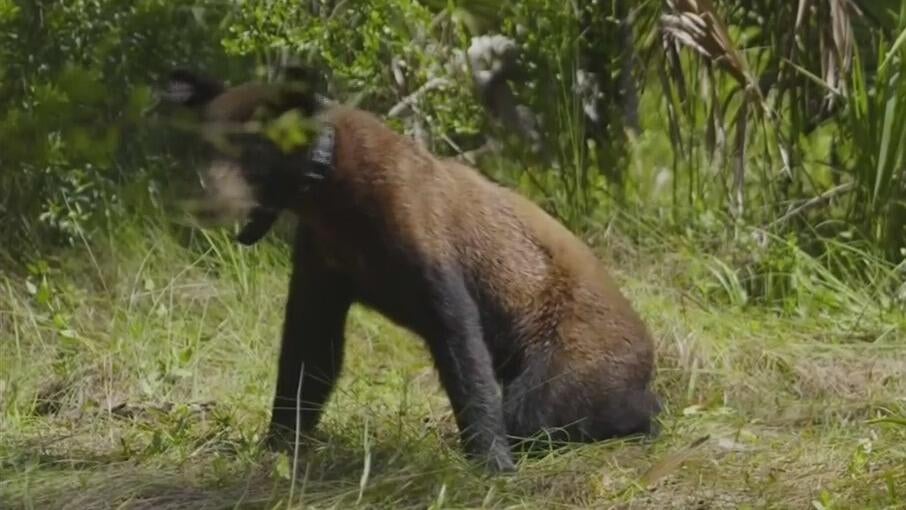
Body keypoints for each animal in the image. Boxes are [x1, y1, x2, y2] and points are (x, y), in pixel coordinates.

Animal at [161, 68, 660, 473]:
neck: (334, 199)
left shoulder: (431, 260)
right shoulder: (322, 270)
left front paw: (491, 463)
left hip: (567, 356)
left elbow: (463, 356)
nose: (205, 198)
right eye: (204, 146)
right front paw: (278, 445)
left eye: (249, 149)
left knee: (544, 410)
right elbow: (309, 359)